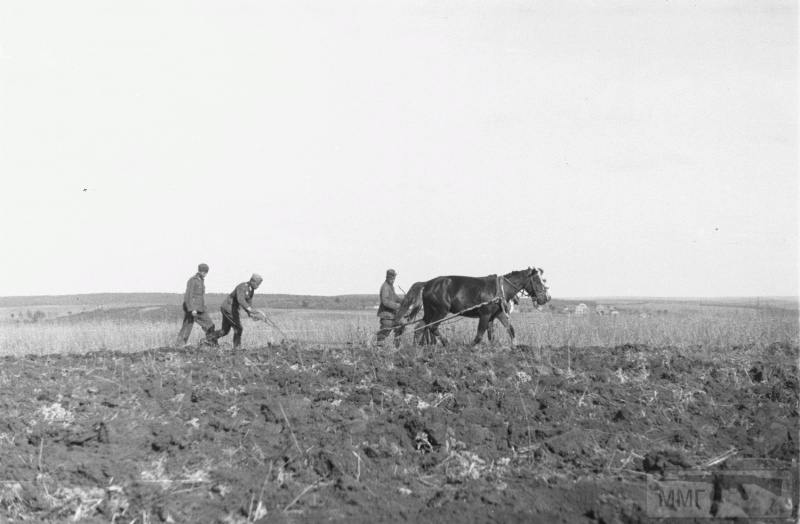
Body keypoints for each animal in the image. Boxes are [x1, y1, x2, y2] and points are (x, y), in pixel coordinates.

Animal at [394, 268, 552, 346]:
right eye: (538, 281)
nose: (546, 298)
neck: (499, 289)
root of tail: (427, 283)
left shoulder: (498, 314)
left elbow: (509, 330)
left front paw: (514, 347)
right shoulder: (485, 315)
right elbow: (479, 335)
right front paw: (472, 346)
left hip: (430, 311)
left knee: (421, 326)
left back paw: (419, 346)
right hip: (440, 311)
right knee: (432, 327)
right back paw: (446, 343)